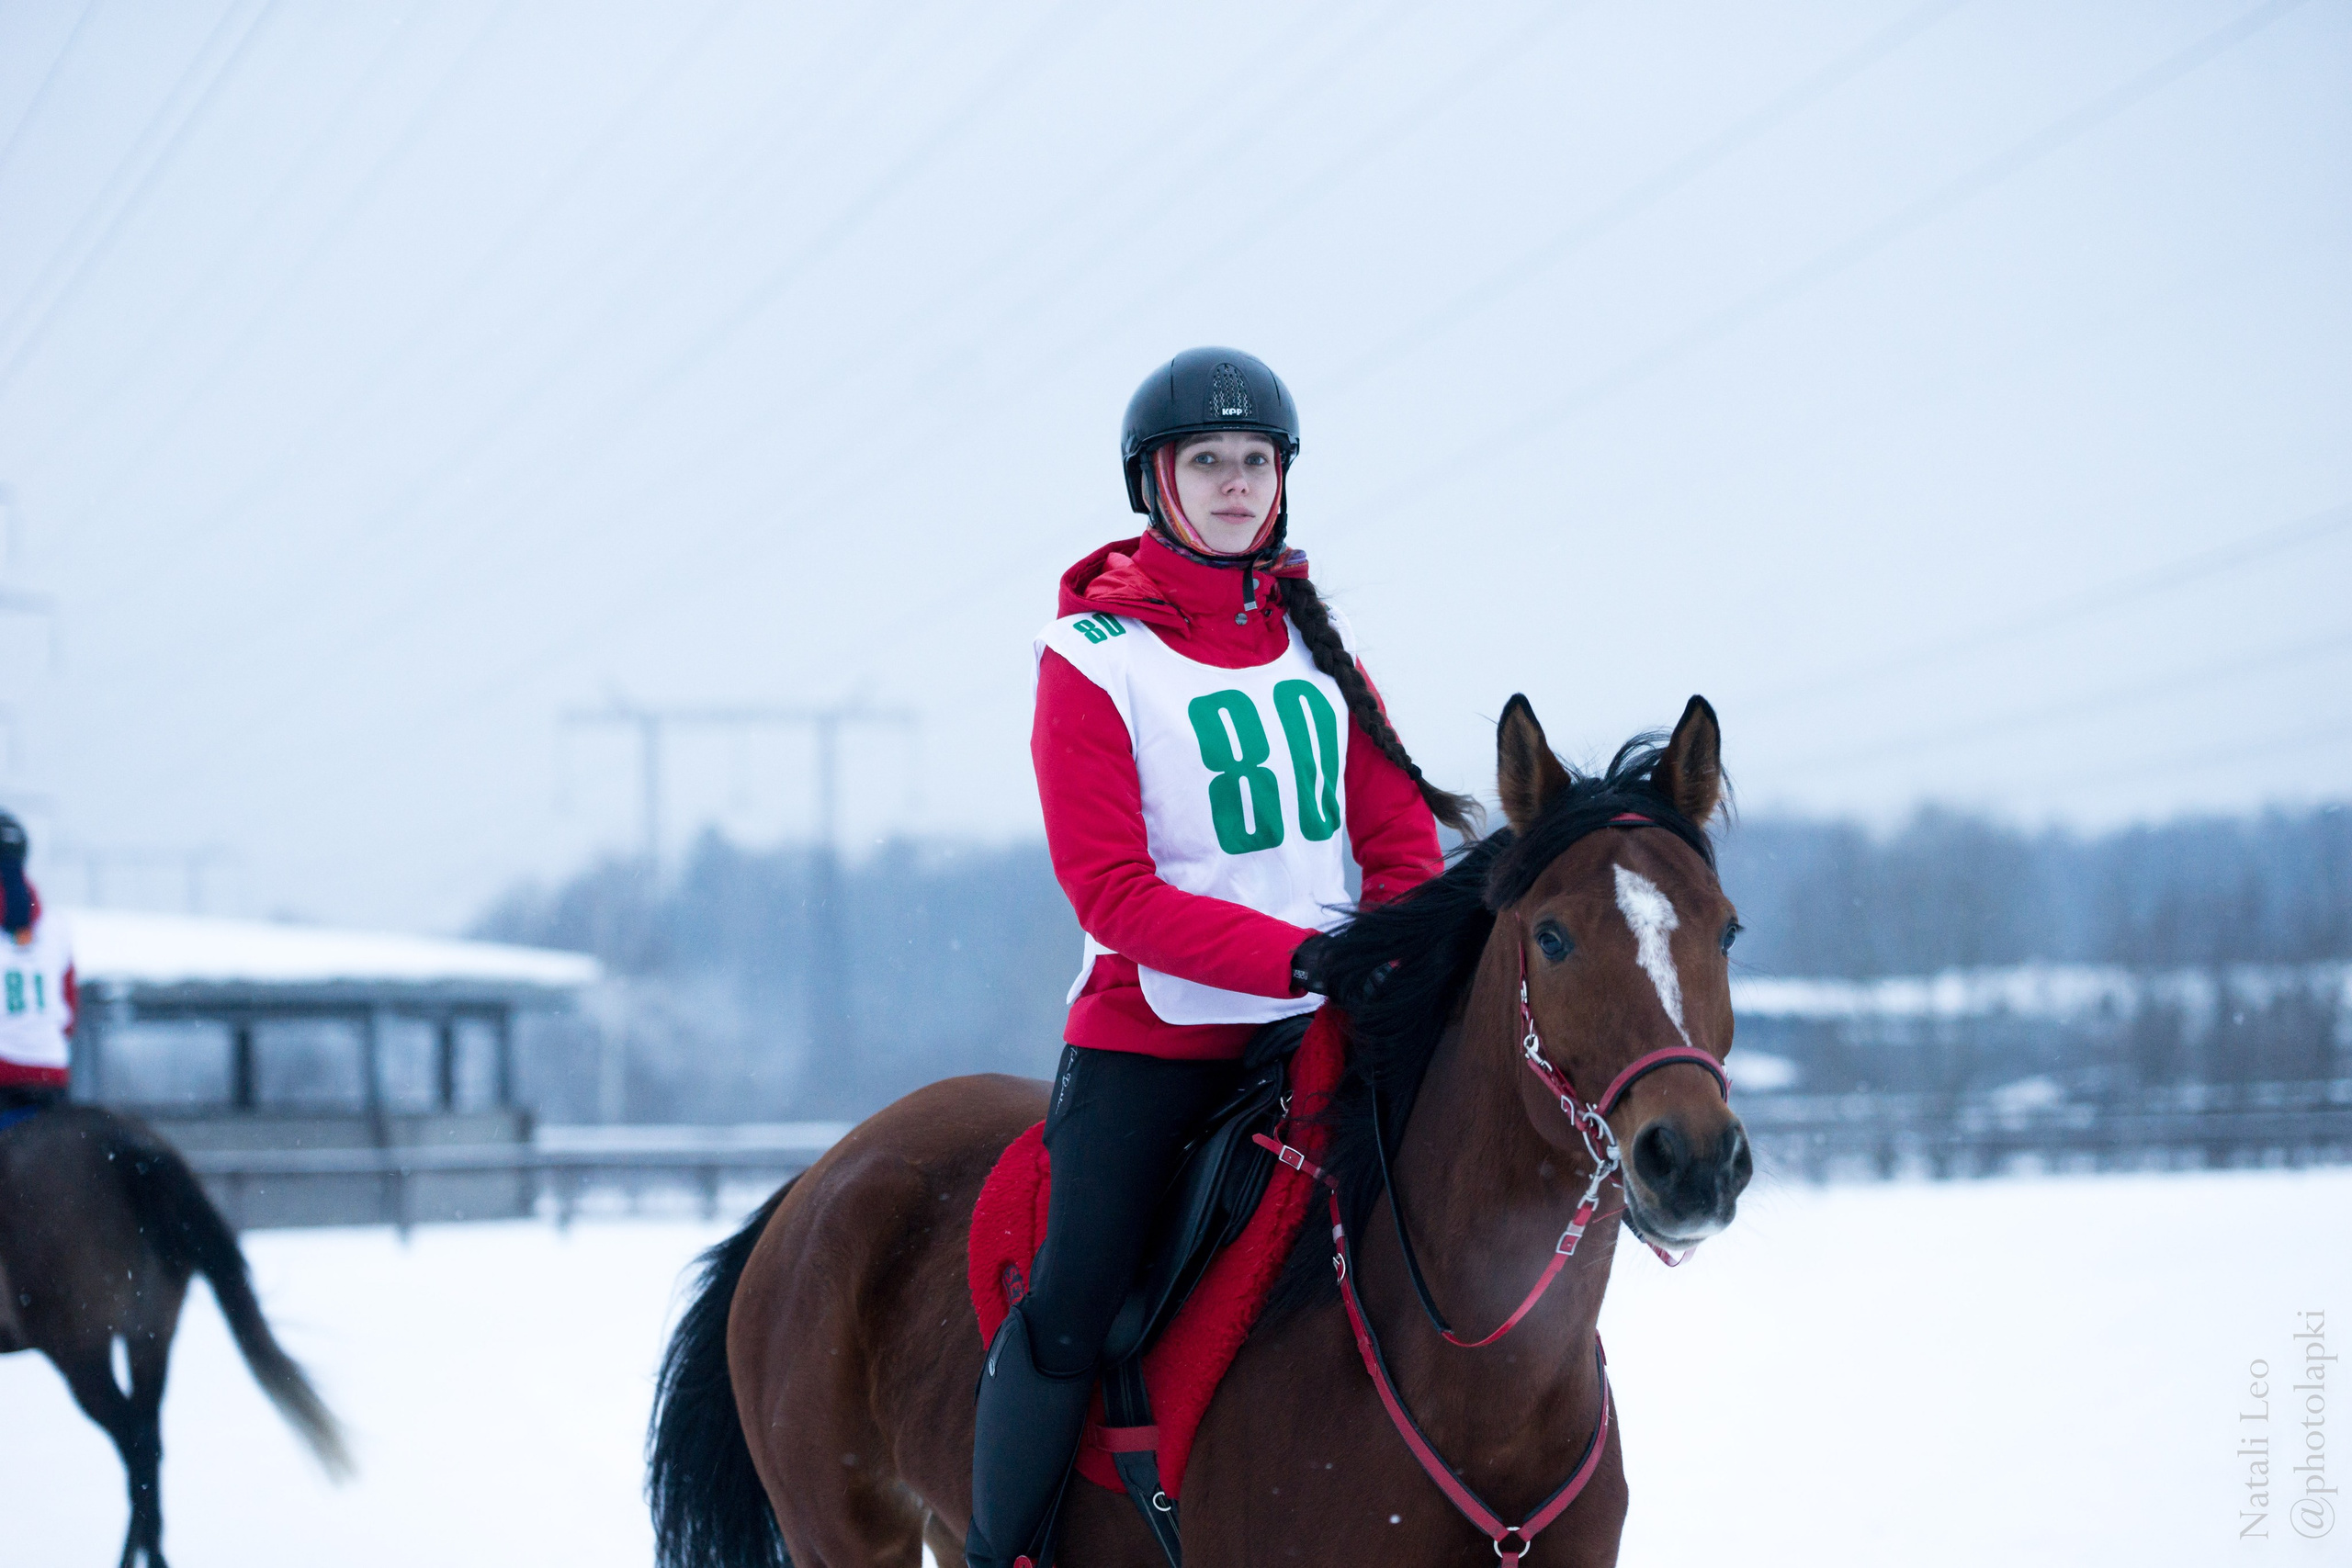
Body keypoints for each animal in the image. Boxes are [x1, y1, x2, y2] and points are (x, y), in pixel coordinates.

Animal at [649, 692, 1751, 1568]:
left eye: (1726, 929)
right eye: (1552, 937)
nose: (1692, 1161)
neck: (1481, 1385)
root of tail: (817, 1181)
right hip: (847, 1534)